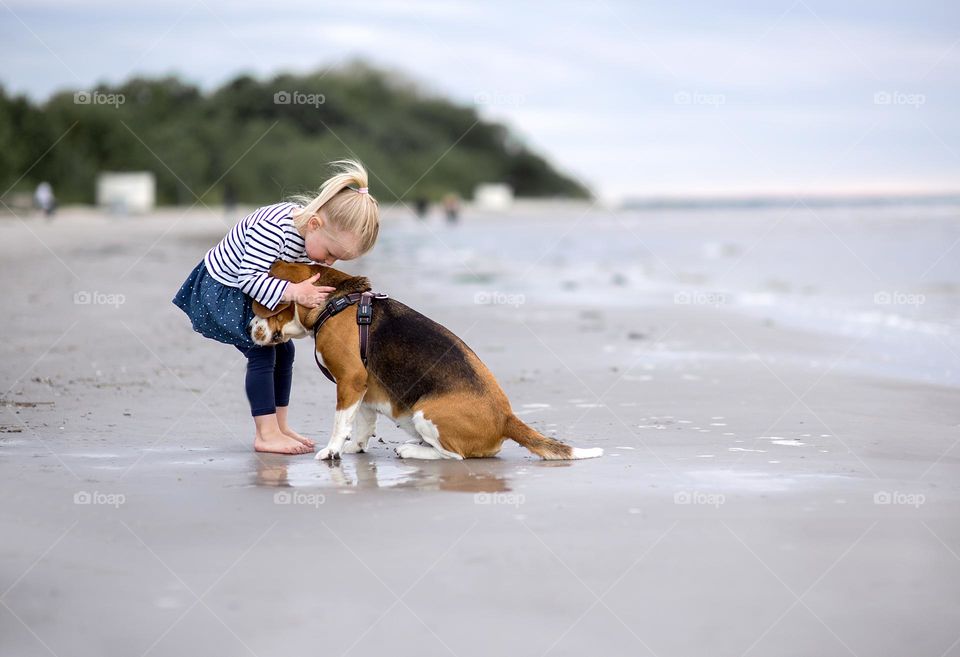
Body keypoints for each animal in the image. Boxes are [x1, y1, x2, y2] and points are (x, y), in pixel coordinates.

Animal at [251, 262, 604, 462]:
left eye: (257, 302)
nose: (250, 329)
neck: (337, 302)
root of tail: (506, 418)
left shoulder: (349, 380)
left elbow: (341, 422)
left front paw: (332, 450)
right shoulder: (363, 388)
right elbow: (363, 422)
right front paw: (355, 448)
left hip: (425, 412)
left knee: (454, 457)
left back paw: (411, 449)